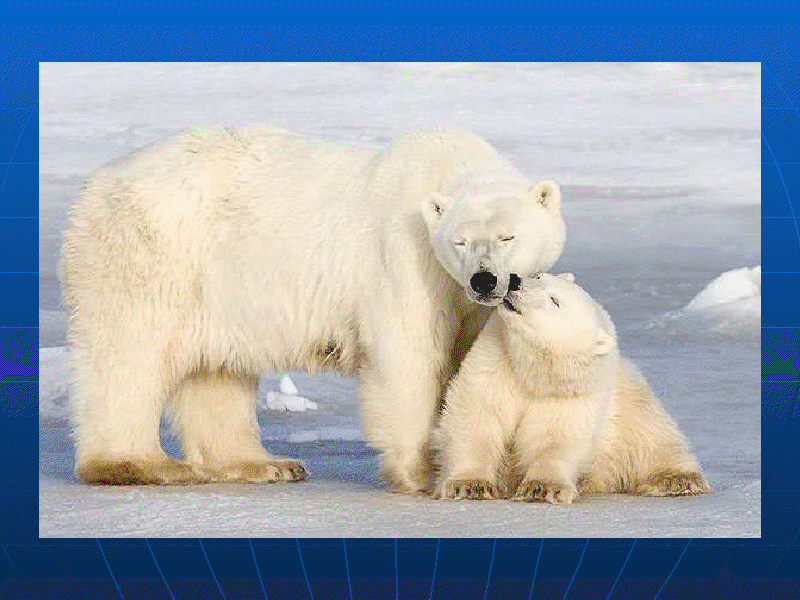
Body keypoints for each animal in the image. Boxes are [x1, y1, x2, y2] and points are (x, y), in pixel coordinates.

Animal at [62, 124, 564, 490]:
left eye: (508, 236)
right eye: (460, 241)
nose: (484, 278)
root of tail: (95, 184)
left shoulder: (465, 300)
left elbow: (468, 360)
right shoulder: (406, 259)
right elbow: (409, 356)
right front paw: (421, 472)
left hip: (218, 288)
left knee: (216, 371)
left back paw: (266, 464)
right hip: (150, 252)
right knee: (130, 355)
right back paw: (140, 464)